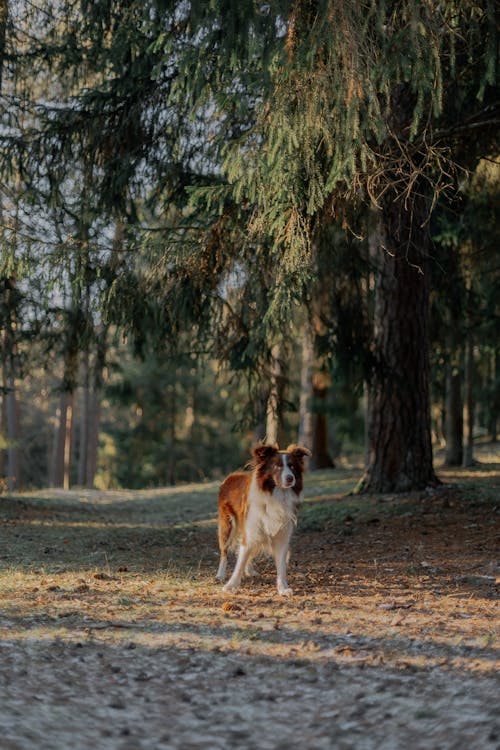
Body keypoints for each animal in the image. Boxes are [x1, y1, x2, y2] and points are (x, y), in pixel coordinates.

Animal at [217, 446, 310, 600]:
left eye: (292, 466)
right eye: (277, 466)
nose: (290, 478)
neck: (277, 495)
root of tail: (231, 476)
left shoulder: (282, 536)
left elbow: (281, 566)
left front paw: (283, 588)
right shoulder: (251, 529)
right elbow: (240, 561)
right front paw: (231, 585)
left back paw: (249, 570)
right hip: (227, 526)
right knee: (224, 551)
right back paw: (220, 574)